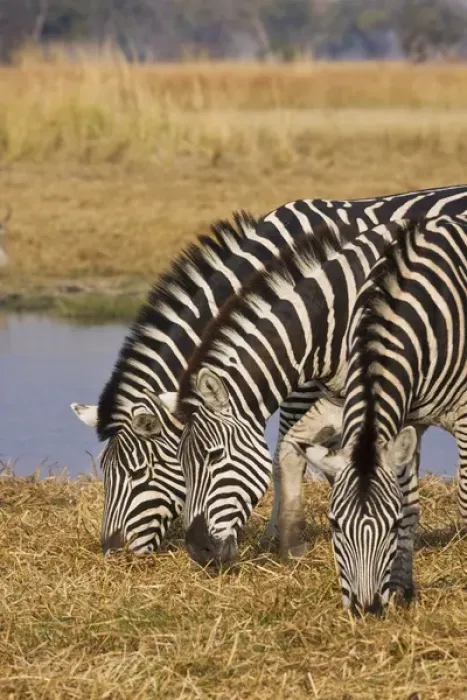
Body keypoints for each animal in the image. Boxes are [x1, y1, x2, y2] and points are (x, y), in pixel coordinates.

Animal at [71, 186, 467, 556]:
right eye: (106, 472)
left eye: (139, 473)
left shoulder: (307, 381)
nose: (111, 551)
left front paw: (278, 535)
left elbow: (283, 457)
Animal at [302, 215, 467, 615]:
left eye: (388, 528)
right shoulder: (408, 419)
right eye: (334, 525)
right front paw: (402, 588)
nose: (367, 608)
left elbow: (465, 498)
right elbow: (409, 502)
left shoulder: (464, 413)